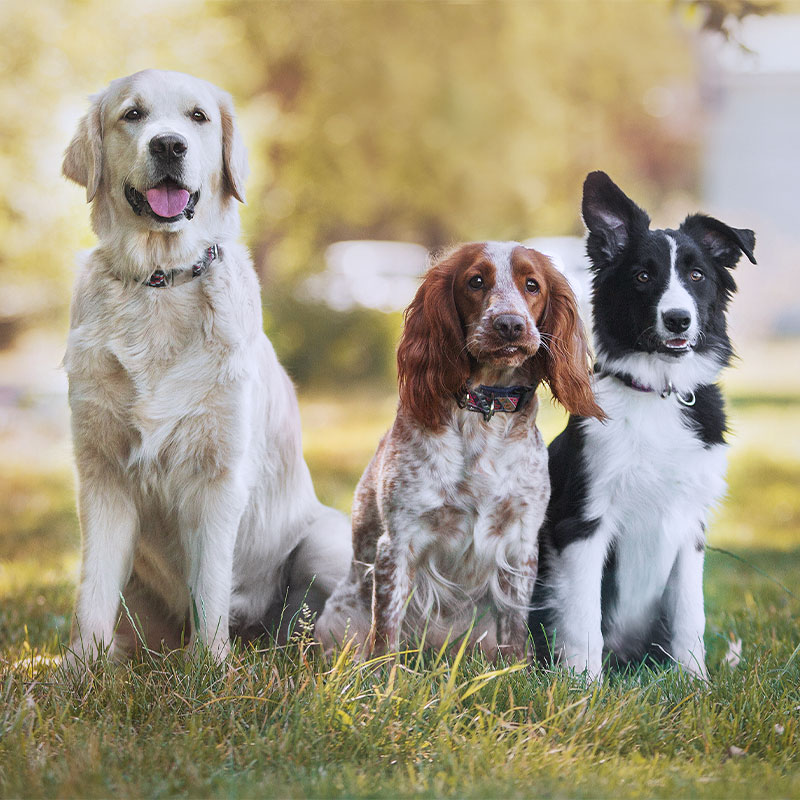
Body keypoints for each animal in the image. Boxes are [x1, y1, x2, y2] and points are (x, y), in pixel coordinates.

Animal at [62, 70, 350, 668]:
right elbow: (92, 591)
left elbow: (211, 584)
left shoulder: (217, 475)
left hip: (327, 540)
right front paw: (77, 674)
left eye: (198, 117)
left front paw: (210, 671)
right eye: (132, 114)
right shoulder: (101, 473)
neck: (159, 283)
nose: (169, 145)